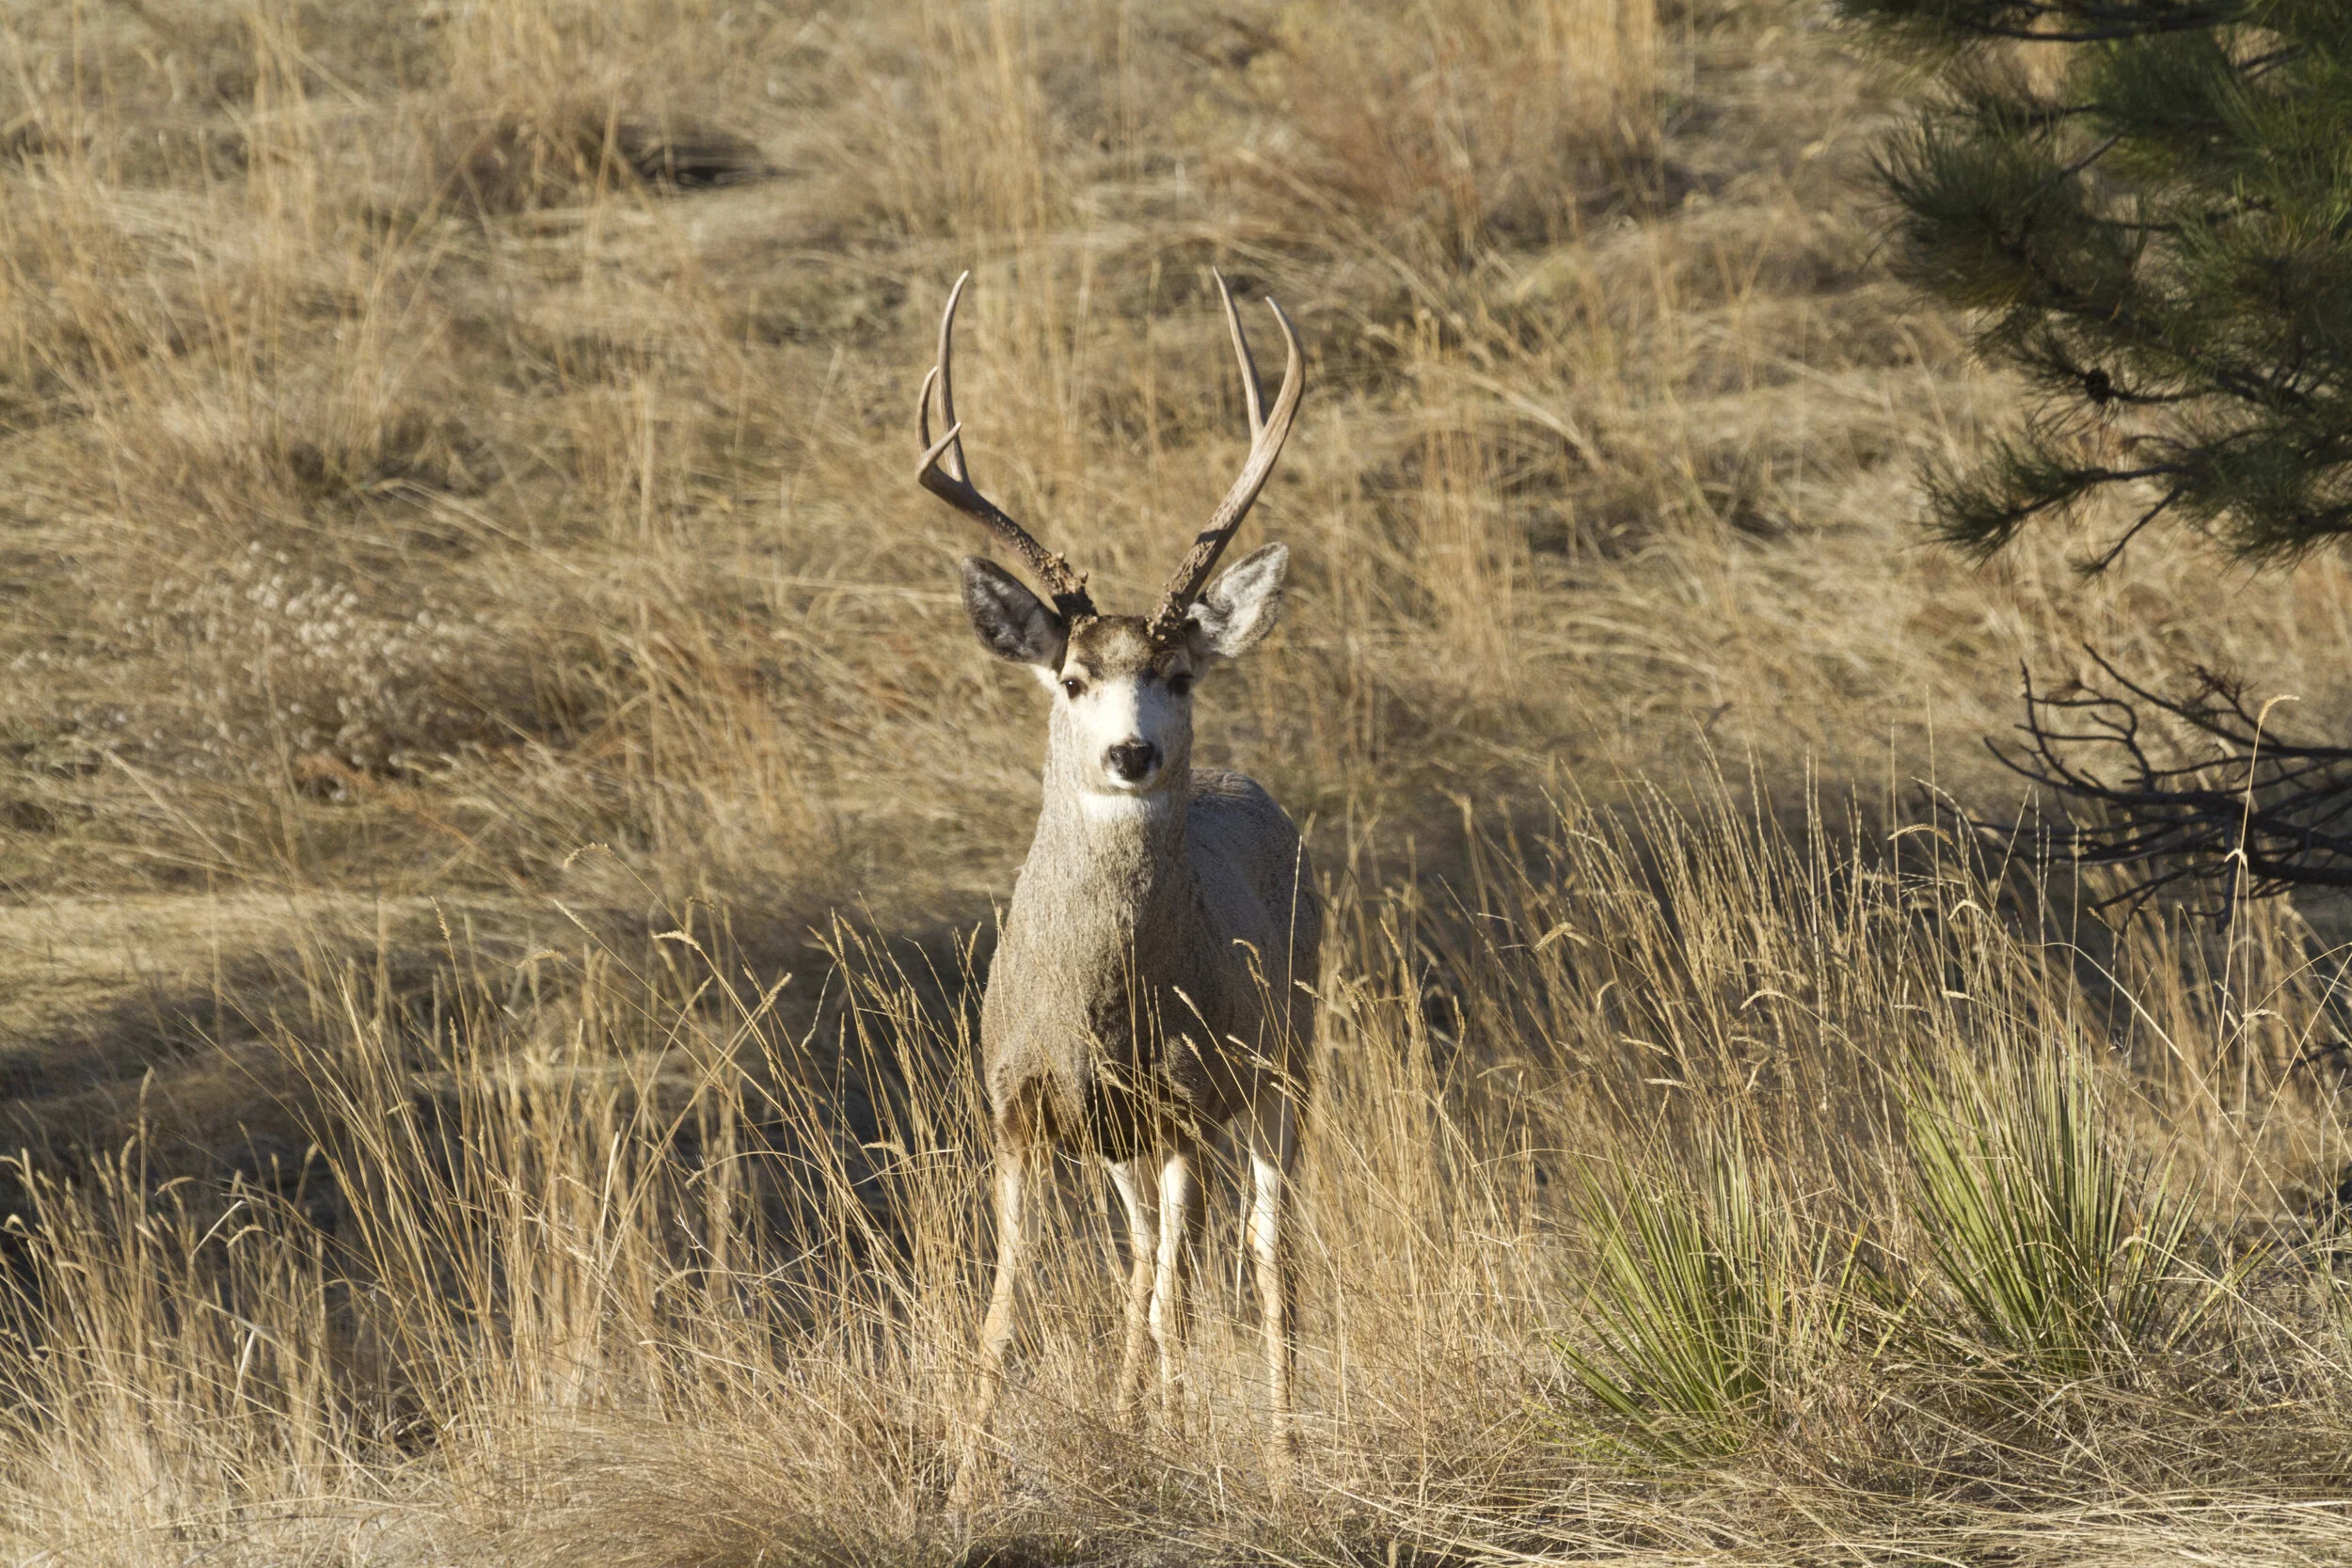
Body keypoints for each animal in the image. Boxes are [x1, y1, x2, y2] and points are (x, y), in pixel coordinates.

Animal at [916, 271, 1318, 1504]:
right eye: (1072, 676)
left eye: (1180, 673)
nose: (1131, 753)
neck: (1100, 1004)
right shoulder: (1017, 1107)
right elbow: (1003, 1315)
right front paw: (961, 1484)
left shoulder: (1187, 1097)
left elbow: (1179, 1295)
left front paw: (1169, 1447)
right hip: (1124, 1136)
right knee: (1148, 1255)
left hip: (1285, 1054)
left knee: (1265, 1247)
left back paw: (1281, 1450)